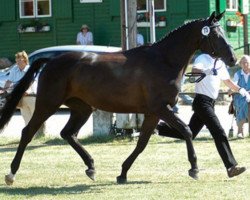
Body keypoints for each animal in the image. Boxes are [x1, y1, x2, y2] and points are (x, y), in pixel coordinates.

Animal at [1, 11, 236, 185]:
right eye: (215, 35)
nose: (233, 58)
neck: (164, 61)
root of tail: (50, 61)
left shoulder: (152, 113)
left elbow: (142, 143)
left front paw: (122, 173)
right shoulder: (161, 108)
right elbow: (186, 130)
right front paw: (194, 168)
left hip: (82, 108)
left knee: (68, 133)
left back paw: (91, 167)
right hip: (48, 104)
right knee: (27, 132)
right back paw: (11, 174)